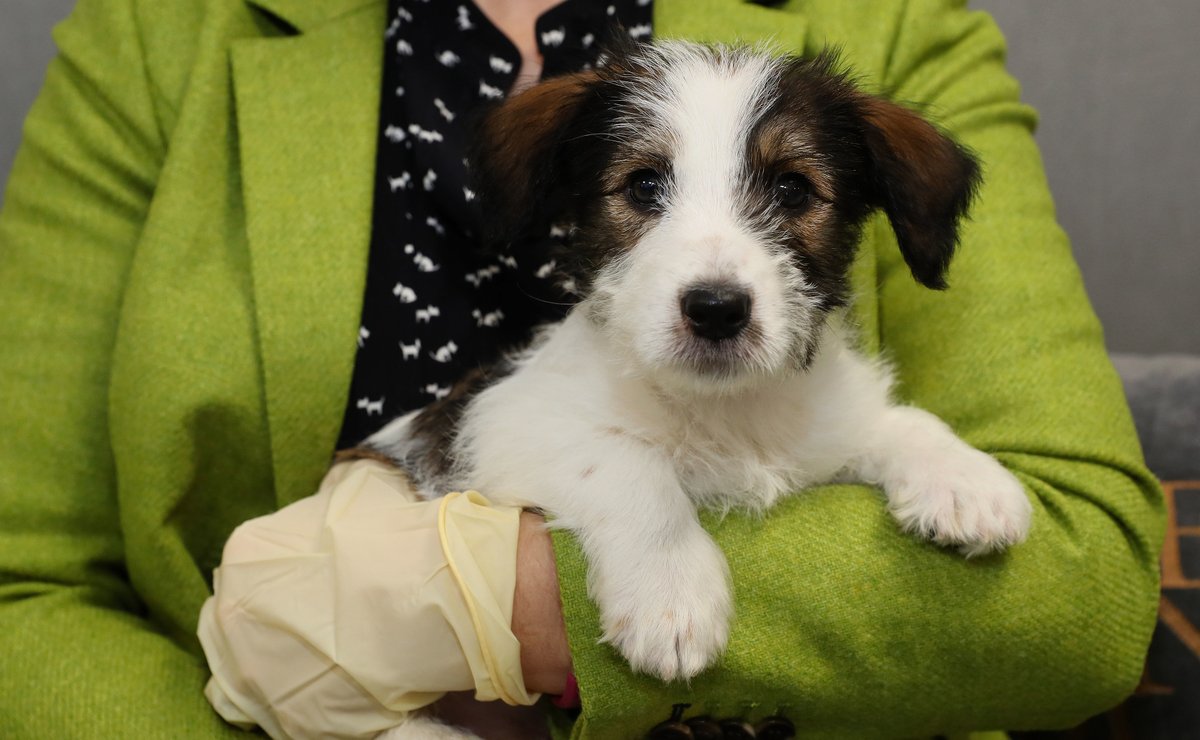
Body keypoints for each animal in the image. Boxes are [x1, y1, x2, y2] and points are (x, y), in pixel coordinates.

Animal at [364, 40, 1032, 681]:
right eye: (642, 185)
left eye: (792, 188)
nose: (715, 309)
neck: (722, 410)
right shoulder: (499, 420)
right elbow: (627, 462)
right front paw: (670, 594)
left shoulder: (825, 431)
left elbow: (899, 421)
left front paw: (965, 479)